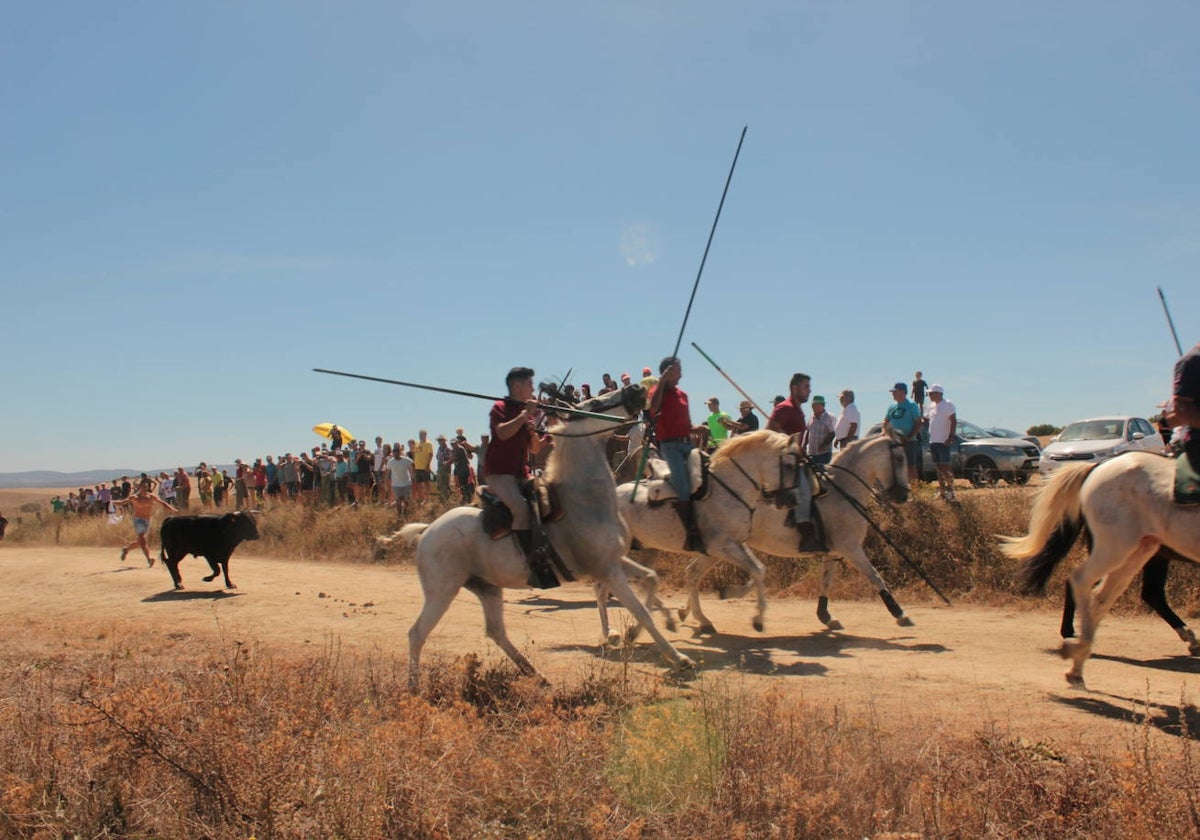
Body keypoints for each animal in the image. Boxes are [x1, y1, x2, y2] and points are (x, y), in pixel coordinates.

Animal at [405, 384, 696, 691]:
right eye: (594, 405)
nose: (637, 389)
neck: (584, 500)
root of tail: (427, 531)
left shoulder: (615, 561)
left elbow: (651, 578)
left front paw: (658, 628)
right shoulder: (608, 569)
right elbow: (641, 610)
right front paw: (677, 657)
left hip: (487, 588)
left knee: (496, 632)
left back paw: (536, 674)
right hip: (442, 590)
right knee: (417, 633)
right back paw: (414, 689)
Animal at [609, 432, 907, 638]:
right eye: (900, 458)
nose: (904, 495)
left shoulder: (833, 551)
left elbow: (825, 581)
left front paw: (825, 615)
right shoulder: (850, 548)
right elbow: (875, 576)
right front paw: (900, 613)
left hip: (700, 550)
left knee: (690, 573)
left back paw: (690, 616)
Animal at [1003, 448, 1200, 686]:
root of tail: (1096, 467)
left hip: (1141, 551)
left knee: (1112, 595)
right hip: (1116, 548)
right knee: (1083, 581)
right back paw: (1074, 645)